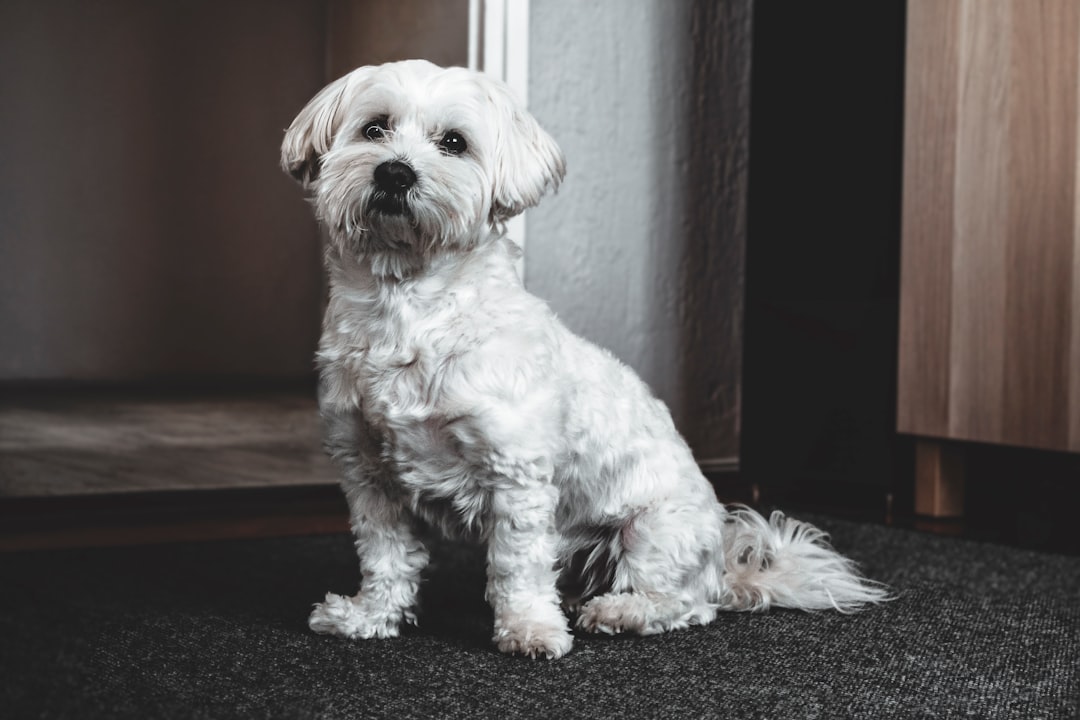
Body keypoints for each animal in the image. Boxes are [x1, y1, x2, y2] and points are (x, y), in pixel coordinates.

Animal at [280, 60, 885, 660]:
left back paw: (620, 611)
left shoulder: (516, 475)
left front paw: (529, 630)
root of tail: (722, 569)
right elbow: (386, 555)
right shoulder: (367, 473)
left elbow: (516, 566)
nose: (395, 174)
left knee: (683, 604)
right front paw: (370, 617)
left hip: (655, 531)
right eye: (374, 129)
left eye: (453, 142)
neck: (410, 307)